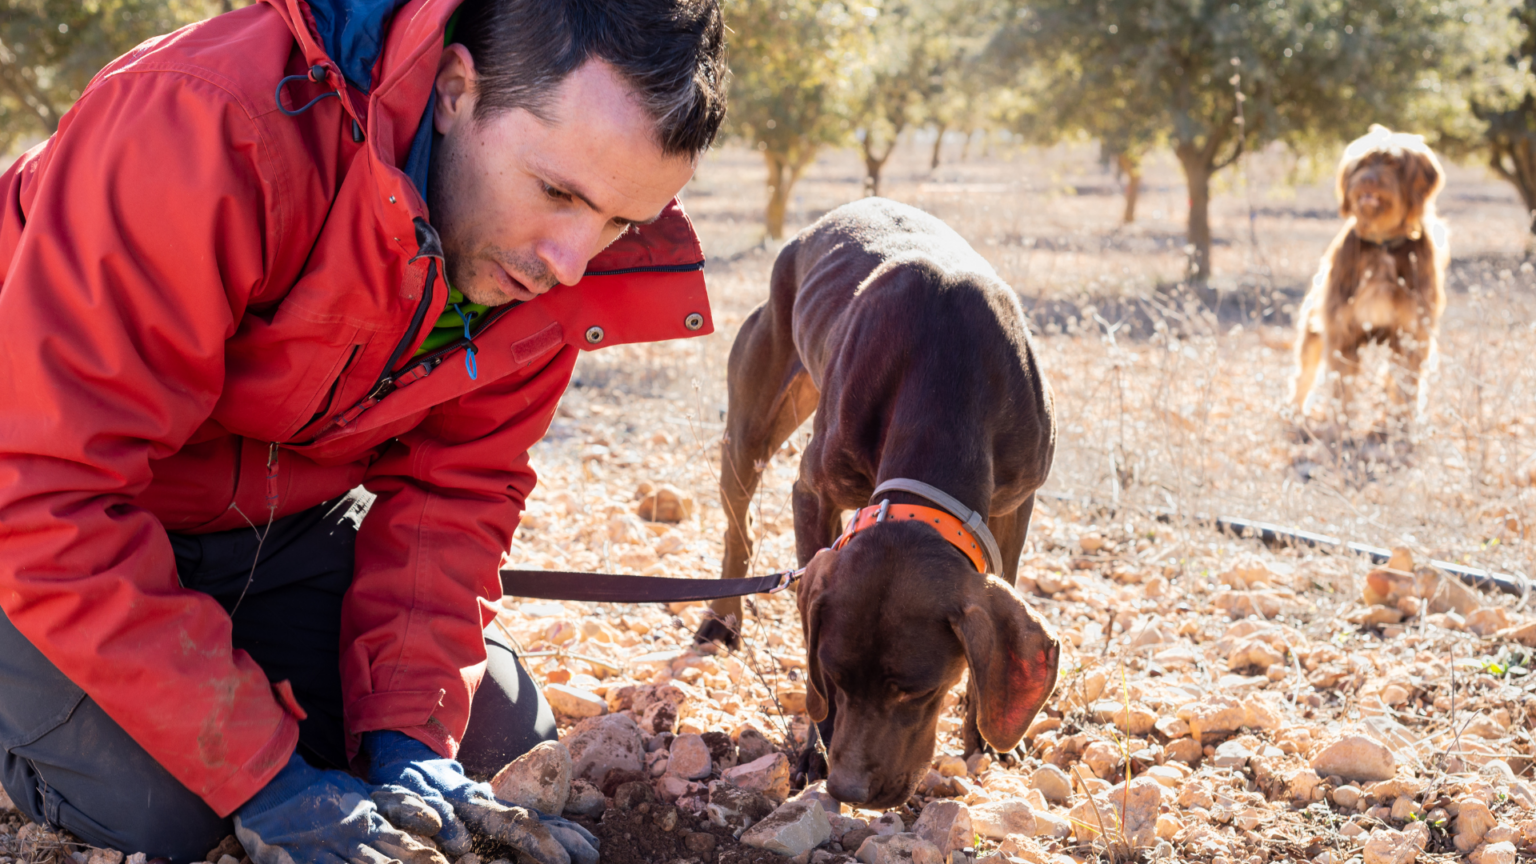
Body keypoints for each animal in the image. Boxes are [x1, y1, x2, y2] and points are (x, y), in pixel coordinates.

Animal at [703, 198, 1062, 805]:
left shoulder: (1017, 505)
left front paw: (984, 740)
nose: (848, 789)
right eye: (836, 678)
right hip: (749, 428)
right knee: (738, 525)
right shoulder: (813, 494)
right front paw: (815, 750)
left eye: (915, 691)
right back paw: (720, 621)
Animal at [1290, 122, 1443, 424]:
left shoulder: (1411, 333)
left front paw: (1403, 424)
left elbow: (1405, 383)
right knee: (1304, 371)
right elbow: (1342, 385)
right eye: (1363, 164)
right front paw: (1340, 425)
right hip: (1313, 326)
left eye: (1394, 163)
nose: (1369, 180)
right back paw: (1294, 412)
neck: (1382, 242)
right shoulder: (1342, 330)